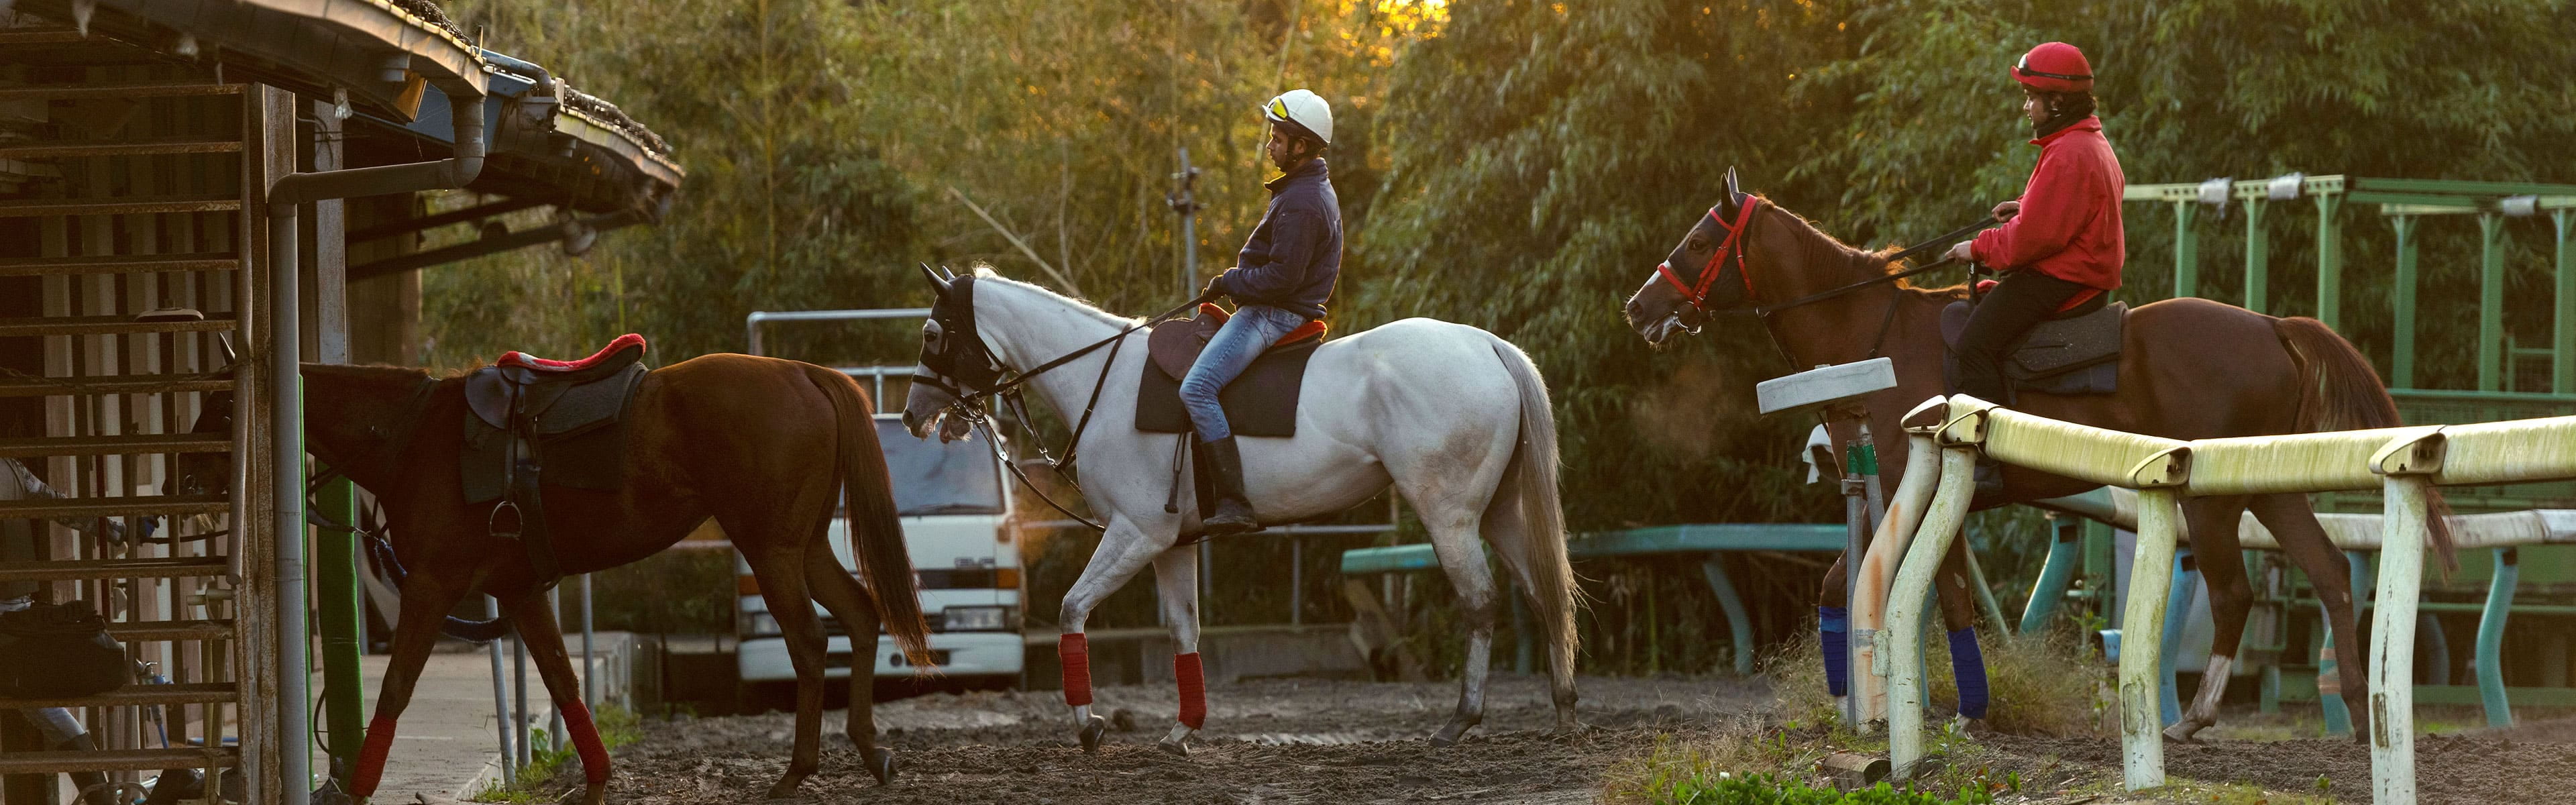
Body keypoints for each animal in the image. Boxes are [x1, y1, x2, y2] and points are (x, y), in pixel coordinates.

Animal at [906, 266, 1576, 753]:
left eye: (933, 335)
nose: (915, 415)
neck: (1104, 380)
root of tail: (1486, 345)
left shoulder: (1136, 533)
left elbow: (1073, 607)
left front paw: (1089, 726)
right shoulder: (1172, 545)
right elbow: (1184, 631)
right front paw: (1182, 732)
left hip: (1450, 517)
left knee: (1481, 602)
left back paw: (1460, 721)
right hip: (1499, 514)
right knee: (1544, 594)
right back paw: (1565, 710)